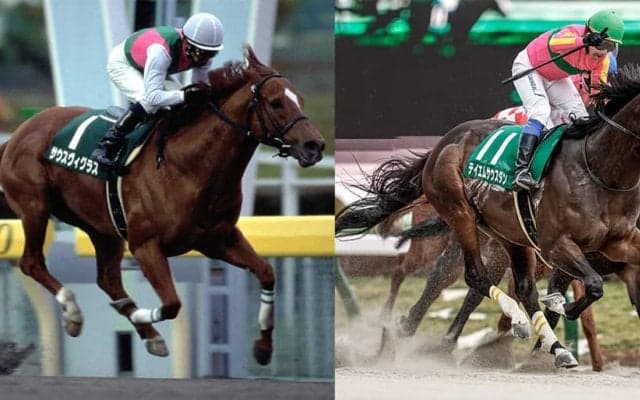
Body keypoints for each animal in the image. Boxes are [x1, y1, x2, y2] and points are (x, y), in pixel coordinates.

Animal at [0, 45, 325, 364]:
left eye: (300, 99)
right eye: (276, 103)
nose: (315, 146)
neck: (187, 166)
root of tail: (18, 134)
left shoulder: (219, 239)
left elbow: (267, 273)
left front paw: (263, 346)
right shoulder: (146, 246)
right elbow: (171, 304)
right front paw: (137, 319)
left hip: (101, 228)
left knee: (107, 279)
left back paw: (141, 330)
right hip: (35, 206)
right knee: (32, 262)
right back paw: (73, 313)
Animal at [336, 63, 640, 368]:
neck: (599, 173)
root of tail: (442, 144)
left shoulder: (620, 243)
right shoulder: (556, 245)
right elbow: (592, 285)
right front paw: (559, 306)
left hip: (508, 234)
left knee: (521, 288)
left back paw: (556, 348)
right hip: (460, 214)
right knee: (467, 277)